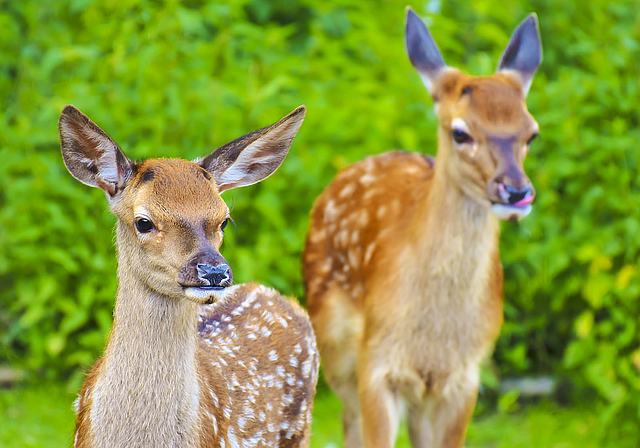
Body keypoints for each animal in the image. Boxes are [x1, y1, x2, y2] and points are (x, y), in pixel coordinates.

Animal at [302, 7, 544, 448]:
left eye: (531, 132)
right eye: (460, 132)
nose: (516, 191)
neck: (433, 337)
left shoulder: (465, 376)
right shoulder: (377, 363)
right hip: (334, 344)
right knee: (347, 419)